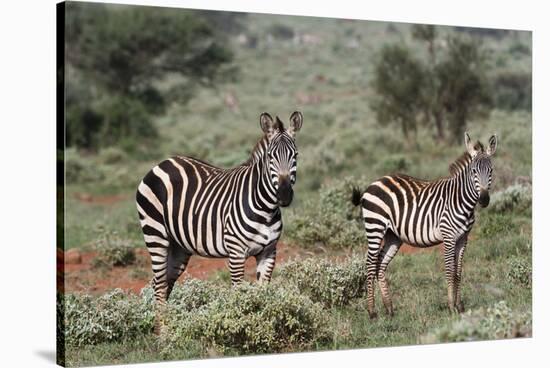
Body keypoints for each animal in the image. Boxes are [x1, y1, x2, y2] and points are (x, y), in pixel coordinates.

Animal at [136, 110, 304, 332]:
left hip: (179, 246)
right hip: (155, 234)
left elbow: (262, 293)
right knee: (160, 282)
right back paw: (162, 333)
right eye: (270, 157)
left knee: (162, 283)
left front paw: (263, 329)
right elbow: (238, 294)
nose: (284, 195)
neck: (266, 209)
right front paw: (239, 330)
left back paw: (167, 329)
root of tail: (163, 162)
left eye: (295, 155)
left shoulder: (269, 252)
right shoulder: (236, 252)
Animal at [354, 133, 500, 320]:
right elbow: (450, 271)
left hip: (393, 236)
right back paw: (372, 312)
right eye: (474, 171)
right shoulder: (448, 237)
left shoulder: (463, 239)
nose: (484, 199)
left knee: (380, 264)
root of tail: (375, 182)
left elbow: (458, 272)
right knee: (370, 264)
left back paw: (389, 309)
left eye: (491, 171)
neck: (462, 201)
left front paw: (460, 306)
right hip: (375, 226)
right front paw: (451, 307)